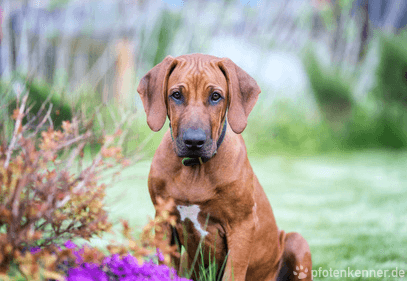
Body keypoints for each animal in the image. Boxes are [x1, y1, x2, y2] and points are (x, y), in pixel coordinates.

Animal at [137, 53, 312, 278]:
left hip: (297, 241)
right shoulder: (164, 221)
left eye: (215, 96)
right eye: (176, 95)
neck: (196, 169)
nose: (194, 142)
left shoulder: (242, 226)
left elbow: (233, 274)